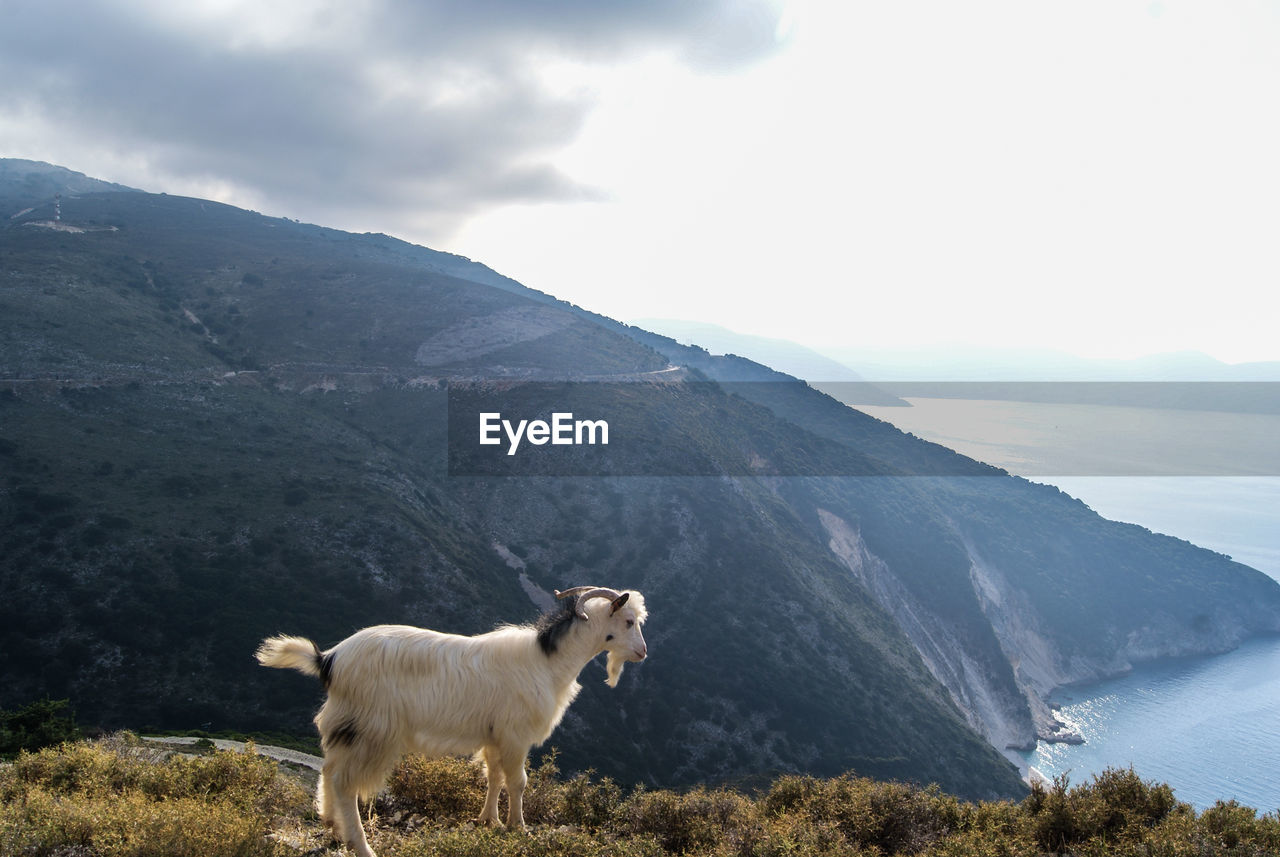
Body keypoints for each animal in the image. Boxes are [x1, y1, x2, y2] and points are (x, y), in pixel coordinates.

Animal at [256, 588, 650, 854]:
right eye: (629, 621)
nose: (643, 653)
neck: (548, 662)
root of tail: (329, 659)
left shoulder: (493, 736)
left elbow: (494, 777)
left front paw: (488, 821)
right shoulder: (515, 735)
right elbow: (518, 782)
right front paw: (518, 827)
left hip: (344, 725)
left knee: (327, 768)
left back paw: (332, 825)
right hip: (371, 730)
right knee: (345, 782)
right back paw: (361, 844)